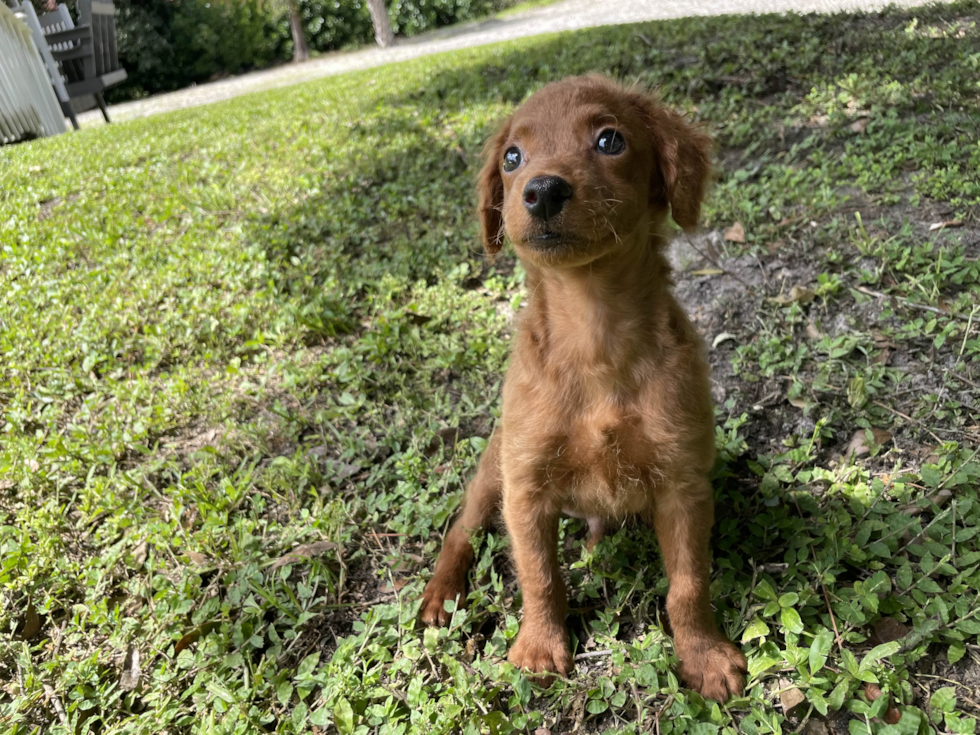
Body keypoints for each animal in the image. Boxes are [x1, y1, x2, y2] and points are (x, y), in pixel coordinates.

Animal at [418, 75, 748, 700]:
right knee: (461, 531)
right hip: (493, 471)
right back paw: (440, 595)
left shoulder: (683, 486)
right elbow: (540, 576)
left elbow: (688, 583)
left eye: (609, 139)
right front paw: (539, 648)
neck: (593, 331)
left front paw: (705, 654)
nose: (542, 191)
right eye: (512, 158)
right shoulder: (525, 490)